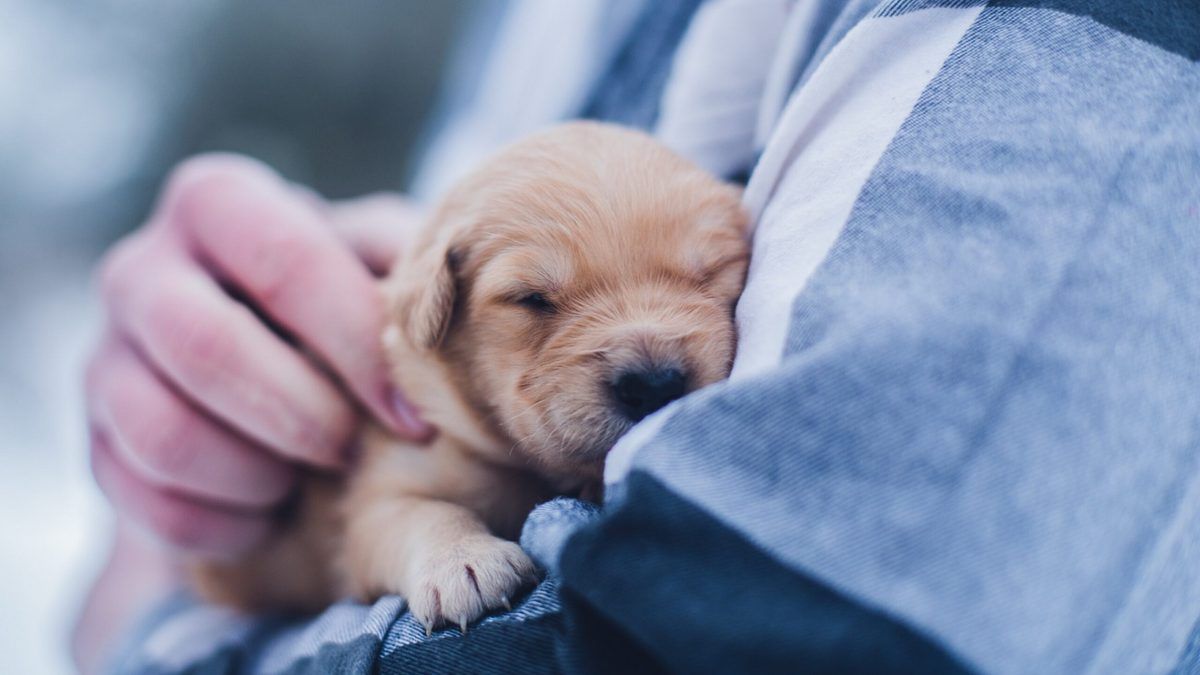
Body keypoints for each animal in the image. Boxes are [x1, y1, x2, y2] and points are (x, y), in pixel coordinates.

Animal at [192, 120, 744, 629]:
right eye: (532, 299)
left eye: (711, 272)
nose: (653, 385)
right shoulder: (378, 493)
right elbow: (420, 513)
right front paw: (462, 562)